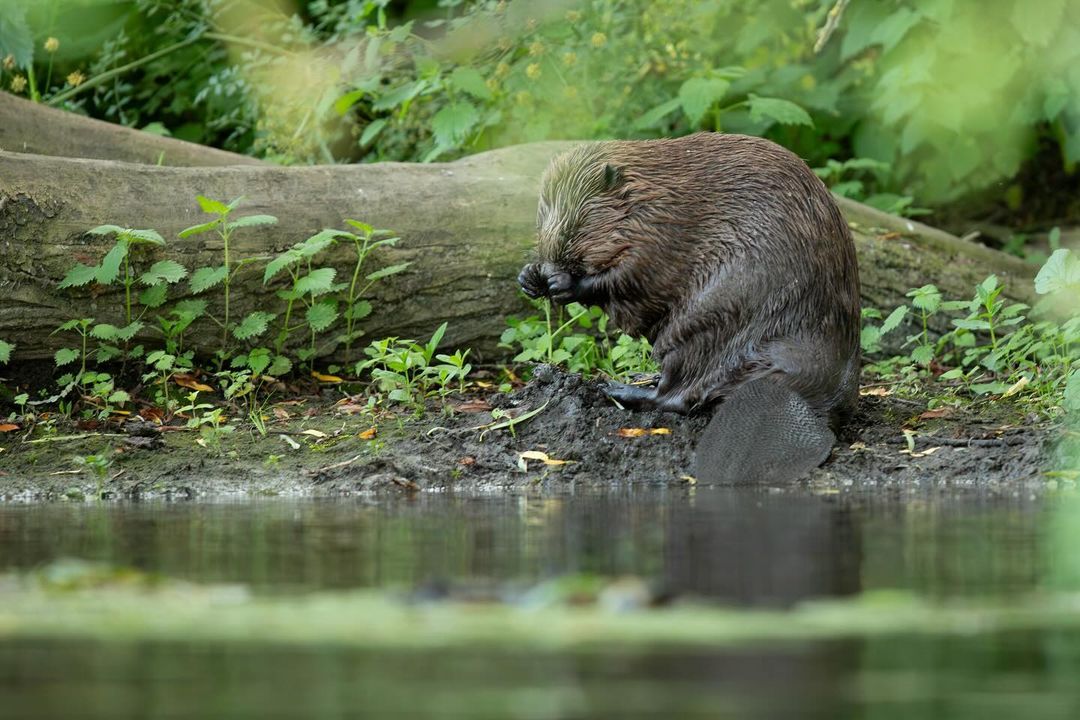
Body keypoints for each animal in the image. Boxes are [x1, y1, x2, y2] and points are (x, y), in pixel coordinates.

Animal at [516, 133, 859, 483]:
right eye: (541, 219)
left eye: (574, 228)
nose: (548, 267)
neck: (651, 188)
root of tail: (801, 399)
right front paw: (530, 277)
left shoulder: (659, 228)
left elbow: (633, 274)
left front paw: (562, 283)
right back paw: (641, 376)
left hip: (702, 325)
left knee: (678, 395)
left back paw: (616, 388)